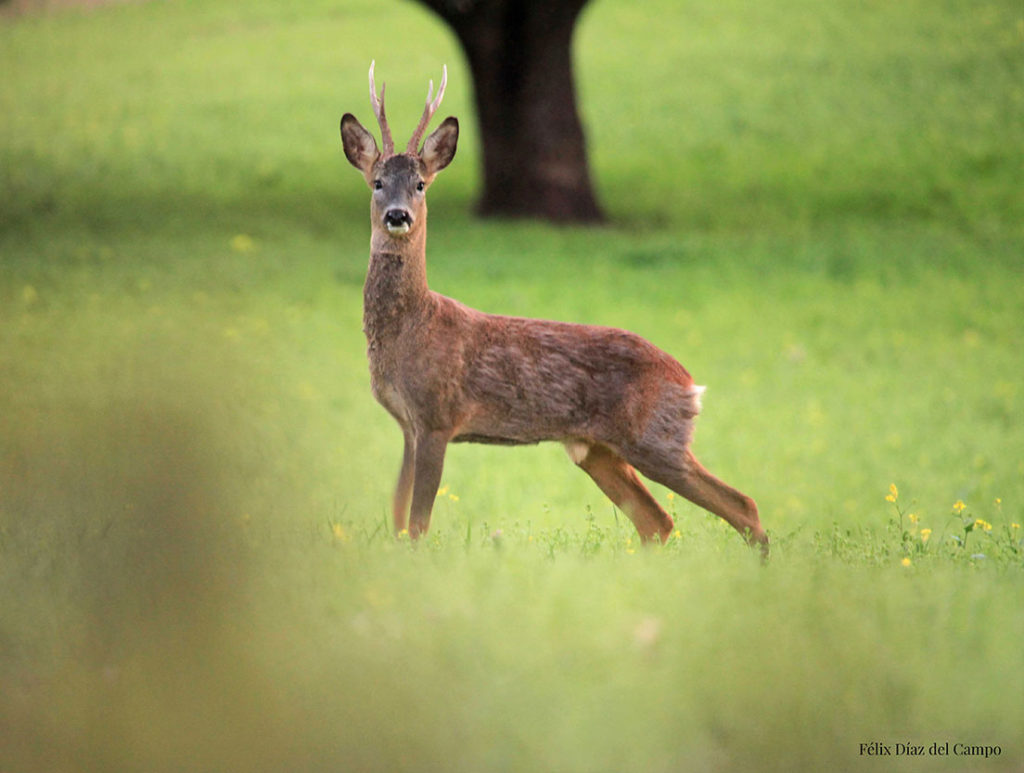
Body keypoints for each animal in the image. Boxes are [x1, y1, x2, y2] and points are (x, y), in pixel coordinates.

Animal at [339, 61, 765, 556]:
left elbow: (419, 524)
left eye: (421, 184)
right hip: (596, 449)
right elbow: (399, 520)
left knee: (741, 505)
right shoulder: (407, 423)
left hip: (656, 437)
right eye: (377, 182)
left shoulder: (437, 415)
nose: (398, 216)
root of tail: (688, 382)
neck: (412, 328)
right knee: (657, 521)